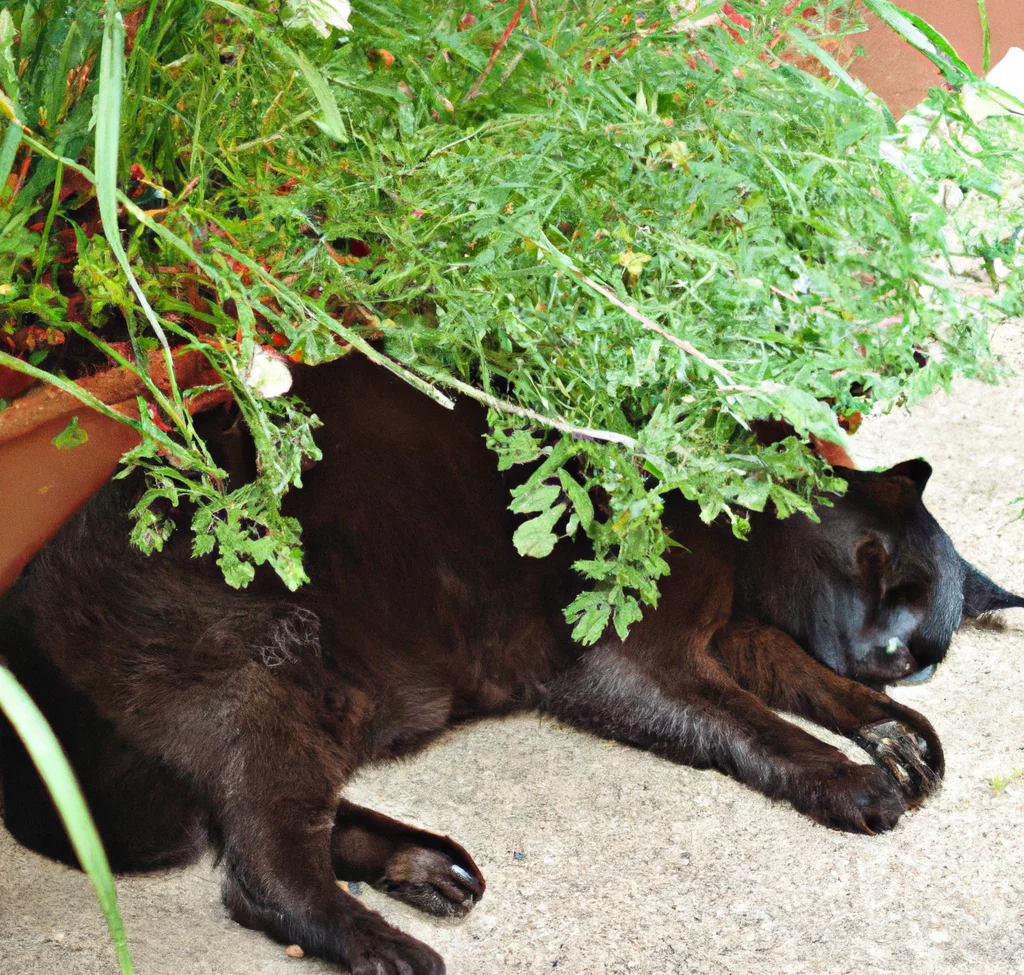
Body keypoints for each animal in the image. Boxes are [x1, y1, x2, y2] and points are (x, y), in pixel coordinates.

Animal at [0, 352, 1019, 975]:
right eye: (872, 562)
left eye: (924, 655)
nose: (889, 655)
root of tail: (24, 614)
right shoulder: (631, 660)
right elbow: (758, 725)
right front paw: (855, 780)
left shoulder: (736, 635)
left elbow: (808, 683)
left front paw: (896, 730)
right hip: (273, 661)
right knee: (255, 863)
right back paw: (384, 940)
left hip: (323, 698)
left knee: (261, 822)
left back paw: (422, 865)